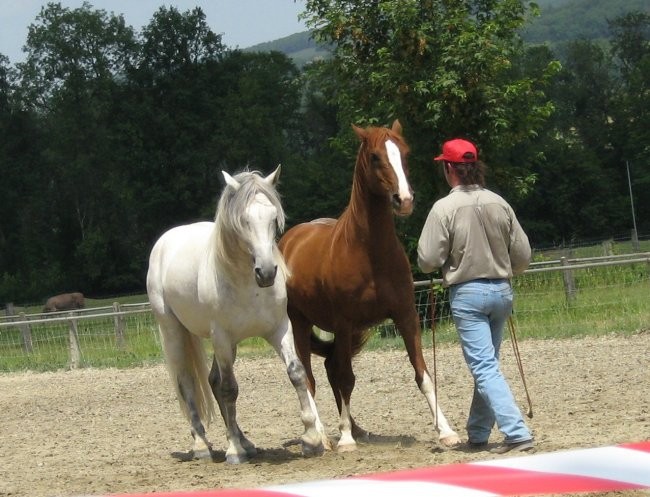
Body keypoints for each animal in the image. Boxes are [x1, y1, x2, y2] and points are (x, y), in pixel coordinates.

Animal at [149, 166, 326, 462]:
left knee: (212, 381)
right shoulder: (220, 336)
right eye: (244, 220)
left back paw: (246, 442)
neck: (246, 284)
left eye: (273, 217)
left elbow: (296, 373)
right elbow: (230, 389)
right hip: (175, 331)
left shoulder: (279, 328)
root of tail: (164, 242)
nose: (266, 272)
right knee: (188, 382)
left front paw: (312, 439)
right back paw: (203, 446)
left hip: (228, 345)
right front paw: (234, 451)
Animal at [276, 120, 458, 450]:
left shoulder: (405, 316)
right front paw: (345, 440)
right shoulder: (344, 322)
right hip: (301, 324)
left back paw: (357, 429)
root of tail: (290, 239)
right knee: (310, 378)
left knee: (330, 369)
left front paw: (446, 430)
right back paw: (323, 437)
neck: (369, 252)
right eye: (375, 157)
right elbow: (347, 378)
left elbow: (422, 373)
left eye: (404, 153)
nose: (404, 199)